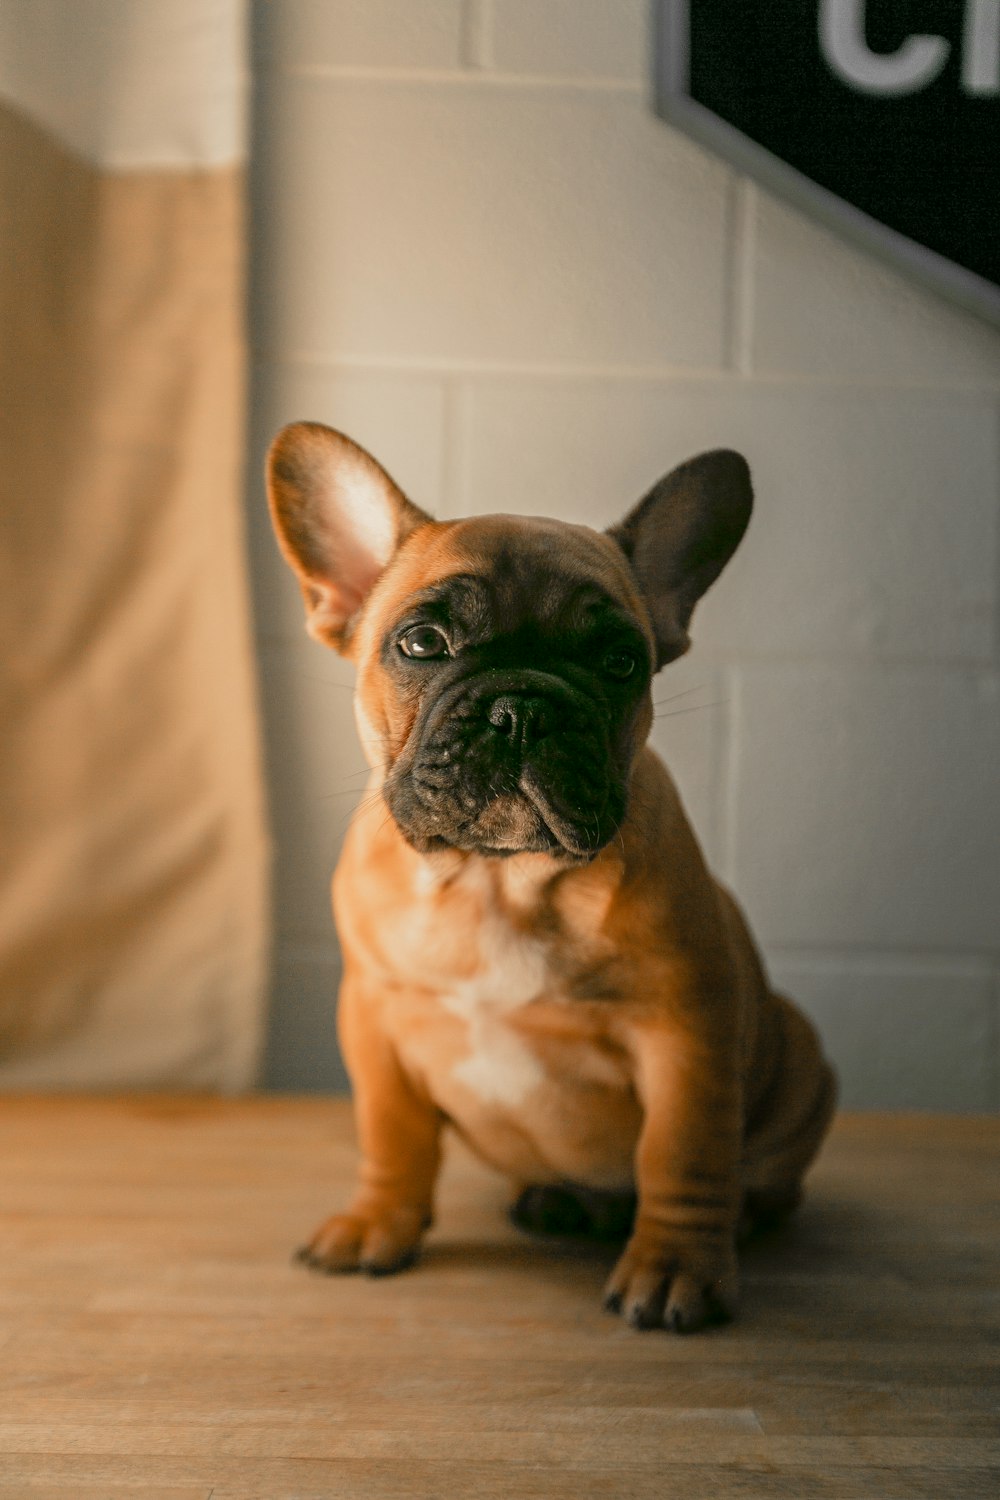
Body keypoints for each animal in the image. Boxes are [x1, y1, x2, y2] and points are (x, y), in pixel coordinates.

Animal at [265, 423, 839, 1338]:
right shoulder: (373, 1020)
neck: (497, 883)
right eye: (420, 643)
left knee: (758, 1177)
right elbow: (391, 1134)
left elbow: (684, 1152)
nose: (522, 707)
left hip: (802, 1059)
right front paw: (377, 1223)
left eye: (621, 661)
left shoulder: (690, 1035)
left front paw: (676, 1267)